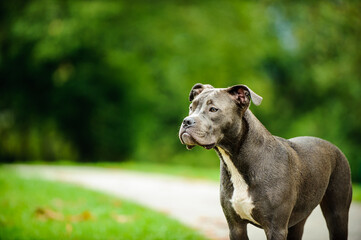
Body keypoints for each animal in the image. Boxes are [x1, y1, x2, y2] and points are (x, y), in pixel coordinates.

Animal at [179, 84, 350, 240]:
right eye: (191, 107)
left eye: (213, 109)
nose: (186, 121)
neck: (238, 161)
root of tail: (335, 148)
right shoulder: (236, 227)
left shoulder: (275, 228)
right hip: (298, 220)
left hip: (337, 214)